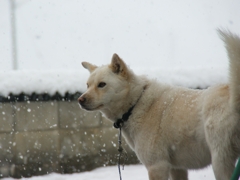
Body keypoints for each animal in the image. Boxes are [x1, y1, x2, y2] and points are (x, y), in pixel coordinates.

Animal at [78, 29, 240, 180]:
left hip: (220, 161)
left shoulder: (157, 166)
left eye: (102, 84)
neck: (135, 104)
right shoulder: (177, 168)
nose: (80, 100)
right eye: (87, 85)